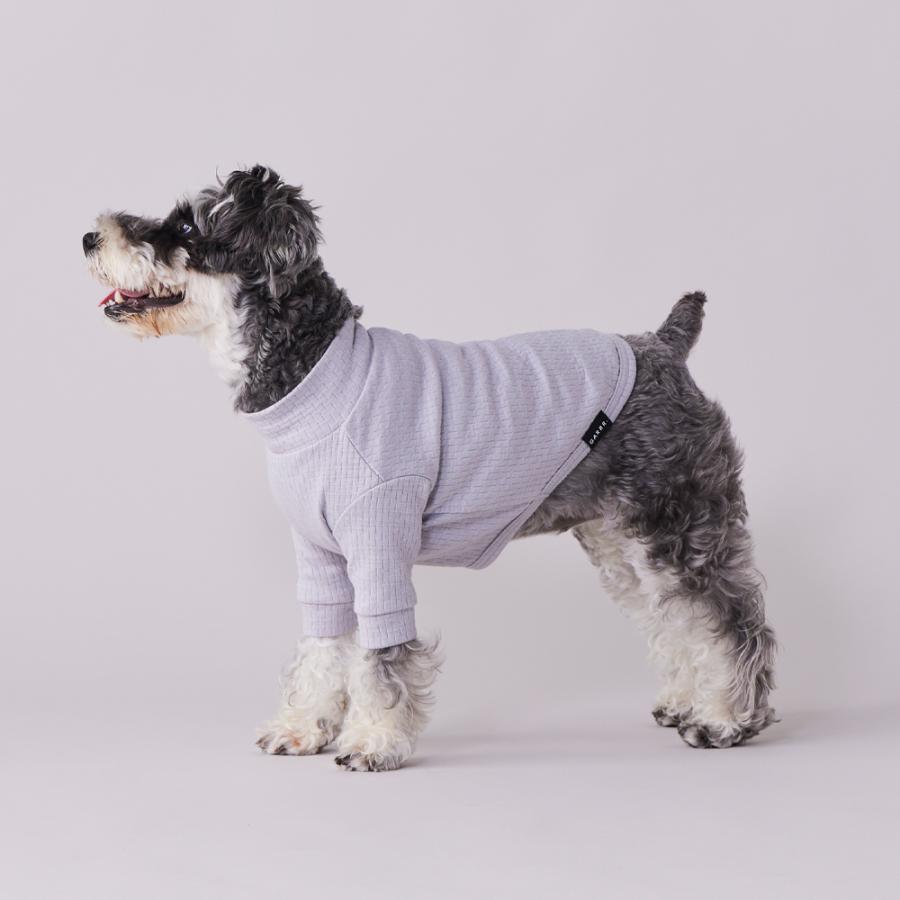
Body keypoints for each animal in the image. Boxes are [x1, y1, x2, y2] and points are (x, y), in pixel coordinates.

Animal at [83, 164, 776, 771]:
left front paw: (373, 741)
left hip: (679, 524)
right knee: (670, 616)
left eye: (187, 227)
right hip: (620, 543)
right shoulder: (321, 556)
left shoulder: (378, 546)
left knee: (727, 619)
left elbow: (381, 653)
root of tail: (665, 346)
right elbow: (321, 646)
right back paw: (685, 701)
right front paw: (302, 728)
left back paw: (726, 719)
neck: (314, 369)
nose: (91, 236)